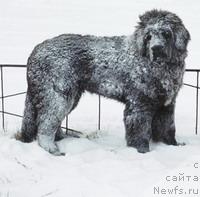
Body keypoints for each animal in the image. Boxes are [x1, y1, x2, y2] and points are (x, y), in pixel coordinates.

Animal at [19, 10, 190, 155]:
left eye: (166, 33)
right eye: (148, 36)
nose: (156, 48)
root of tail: (35, 51)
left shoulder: (166, 105)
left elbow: (167, 127)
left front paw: (173, 146)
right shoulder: (139, 105)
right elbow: (140, 131)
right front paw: (142, 152)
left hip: (69, 96)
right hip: (57, 96)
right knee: (46, 123)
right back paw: (51, 148)